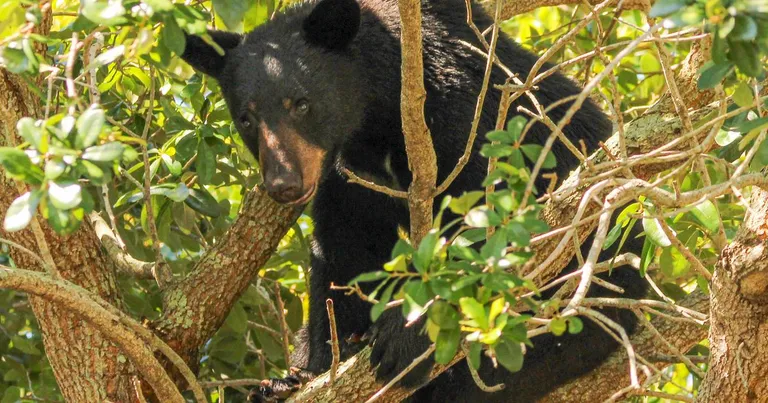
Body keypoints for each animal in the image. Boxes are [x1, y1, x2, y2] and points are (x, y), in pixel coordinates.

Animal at [183, 0, 644, 400]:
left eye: (301, 103)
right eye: (246, 118)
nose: (284, 184)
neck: (381, 117)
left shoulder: (471, 123)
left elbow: (499, 226)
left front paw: (405, 336)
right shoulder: (350, 176)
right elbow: (345, 255)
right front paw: (307, 369)